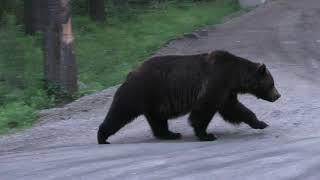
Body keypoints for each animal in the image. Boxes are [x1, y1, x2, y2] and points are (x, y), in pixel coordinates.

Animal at [97, 50, 280, 143]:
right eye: (272, 83)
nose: (277, 96)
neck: (234, 76)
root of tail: (130, 72)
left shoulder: (226, 91)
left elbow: (234, 109)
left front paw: (260, 123)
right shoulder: (216, 81)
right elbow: (204, 109)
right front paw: (206, 135)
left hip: (155, 100)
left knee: (157, 119)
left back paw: (170, 134)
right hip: (141, 90)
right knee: (121, 112)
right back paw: (102, 136)